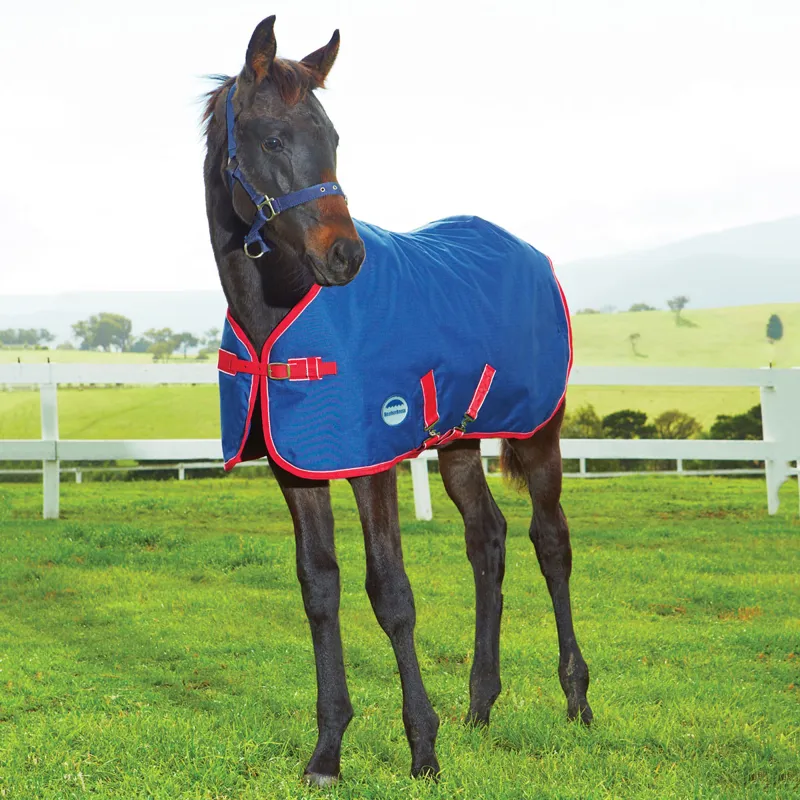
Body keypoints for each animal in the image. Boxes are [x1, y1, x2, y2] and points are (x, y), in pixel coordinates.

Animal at [201, 15, 591, 785]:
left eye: (334, 136)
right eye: (272, 139)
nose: (345, 256)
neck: (279, 315)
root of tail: (531, 253)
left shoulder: (373, 462)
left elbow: (391, 593)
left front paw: (422, 749)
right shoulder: (299, 469)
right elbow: (319, 589)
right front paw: (327, 752)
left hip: (539, 433)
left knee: (550, 541)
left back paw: (576, 700)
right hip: (461, 443)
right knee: (487, 539)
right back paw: (480, 705)